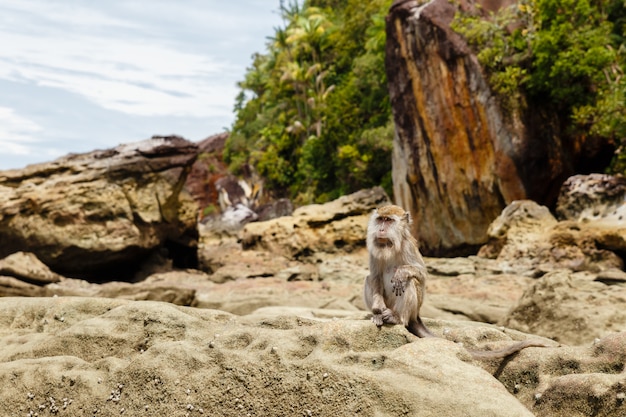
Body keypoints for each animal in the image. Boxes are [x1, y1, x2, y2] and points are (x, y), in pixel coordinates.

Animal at [360, 203, 544, 360]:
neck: (391, 246)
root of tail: (415, 315)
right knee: (369, 279)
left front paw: (402, 272)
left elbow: (422, 275)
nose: (381, 230)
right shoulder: (375, 250)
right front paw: (377, 309)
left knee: (409, 282)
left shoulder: (408, 247)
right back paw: (379, 315)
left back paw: (397, 318)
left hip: (411, 309)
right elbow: (374, 276)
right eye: (380, 219)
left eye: (389, 220)